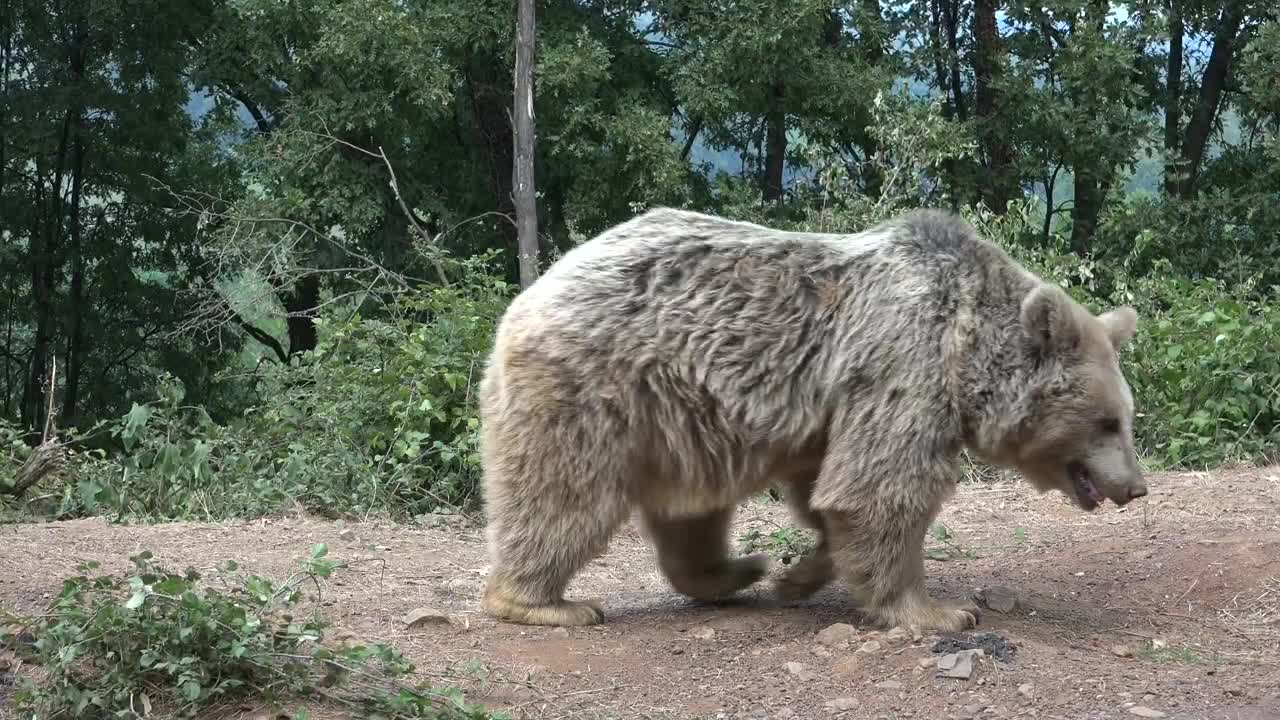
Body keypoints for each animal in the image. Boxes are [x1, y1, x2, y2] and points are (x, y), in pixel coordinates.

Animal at [476, 206, 1146, 627]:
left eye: (1127, 417)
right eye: (1108, 422)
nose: (1136, 487)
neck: (967, 348)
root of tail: (529, 294)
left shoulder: (835, 411)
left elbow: (830, 492)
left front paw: (799, 573)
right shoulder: (904, 365)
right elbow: (880, 488)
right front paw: (940, 611)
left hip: (683, 413)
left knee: (689, 510)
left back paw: (733, 571)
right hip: (595, 389)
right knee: (563, 494)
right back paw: (544, 602)